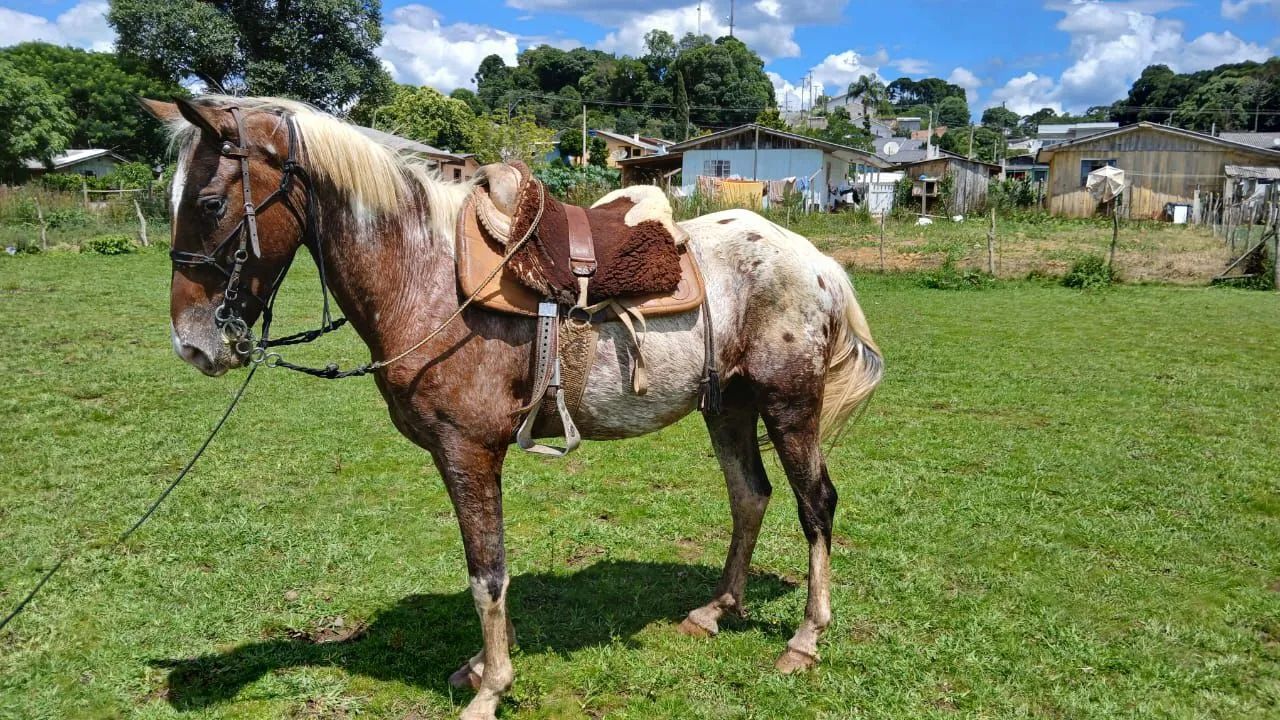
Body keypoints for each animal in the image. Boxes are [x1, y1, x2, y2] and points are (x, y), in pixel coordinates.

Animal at [144, 95, 883, 720]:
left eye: (210, 201)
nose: (193, 343)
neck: (426, 276)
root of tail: (817, 262)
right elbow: (487, 566)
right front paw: (480, 669)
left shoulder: (468, 451)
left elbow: (487, 573)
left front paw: (489, 688)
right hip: (727, 404)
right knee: (749, 495)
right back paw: (717, 609)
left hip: (788, 404)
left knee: (815, 504)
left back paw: (804, 641)